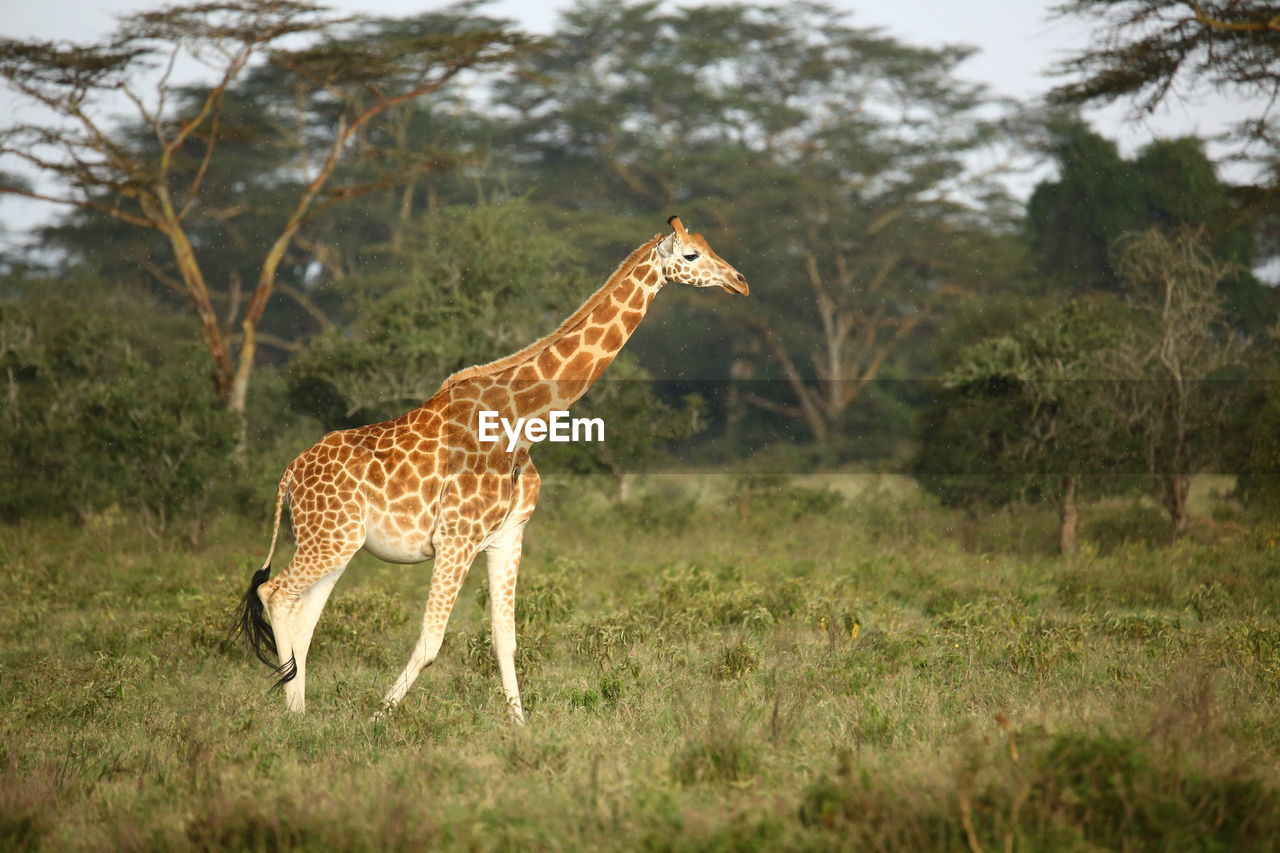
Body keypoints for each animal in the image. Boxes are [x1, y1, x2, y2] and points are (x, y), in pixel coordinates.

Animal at [235, 216, 747, 722]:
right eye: (691, 255)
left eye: (708, 246)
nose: (739, 281)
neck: (522, 421)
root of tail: (289, 475)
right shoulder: (456, 537)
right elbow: (431, 641)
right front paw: (378, 718)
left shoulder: (507, 536)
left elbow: (505, 641)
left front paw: (520, 726)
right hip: (329, 537)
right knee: (275, 593)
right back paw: (294, 714)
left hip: (339, 542)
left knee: (303, 614)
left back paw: (300, 715)